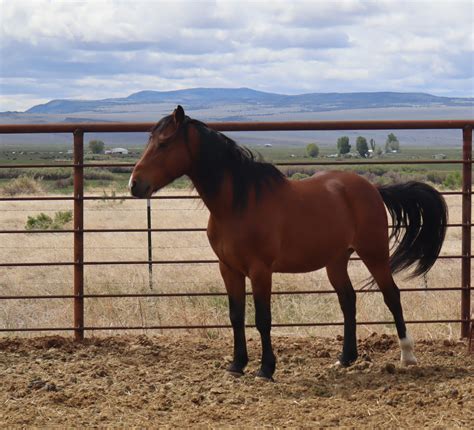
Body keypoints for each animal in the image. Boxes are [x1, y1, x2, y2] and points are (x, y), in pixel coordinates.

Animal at [130, 106, 448, 382]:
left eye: (163, 144)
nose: (135, 185)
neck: (238, 204)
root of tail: (372, 187)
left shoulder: (260, 271)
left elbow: (262, 319)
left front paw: (265, 369)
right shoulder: (228, 269)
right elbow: (236, 316)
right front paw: (236, 365)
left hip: (375, 254)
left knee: (391, 295)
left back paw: (407, 355)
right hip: (336, 260)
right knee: (348, 300)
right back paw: (345, 358)